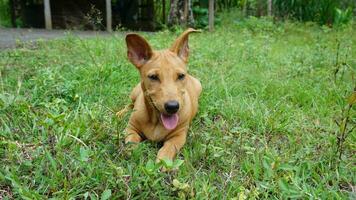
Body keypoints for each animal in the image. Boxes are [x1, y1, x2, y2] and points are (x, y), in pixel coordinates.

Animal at [122, 28, 200, 162]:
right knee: (129, 105)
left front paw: (163, 162)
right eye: (153, 77)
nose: (172, 107)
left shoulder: (179, 136)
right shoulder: (131, 128)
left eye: (181, 76)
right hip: (134, 93)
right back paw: (119, 114)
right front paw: (133, 153)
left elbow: (168, 148)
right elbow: (132, 142)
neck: (156, 121)